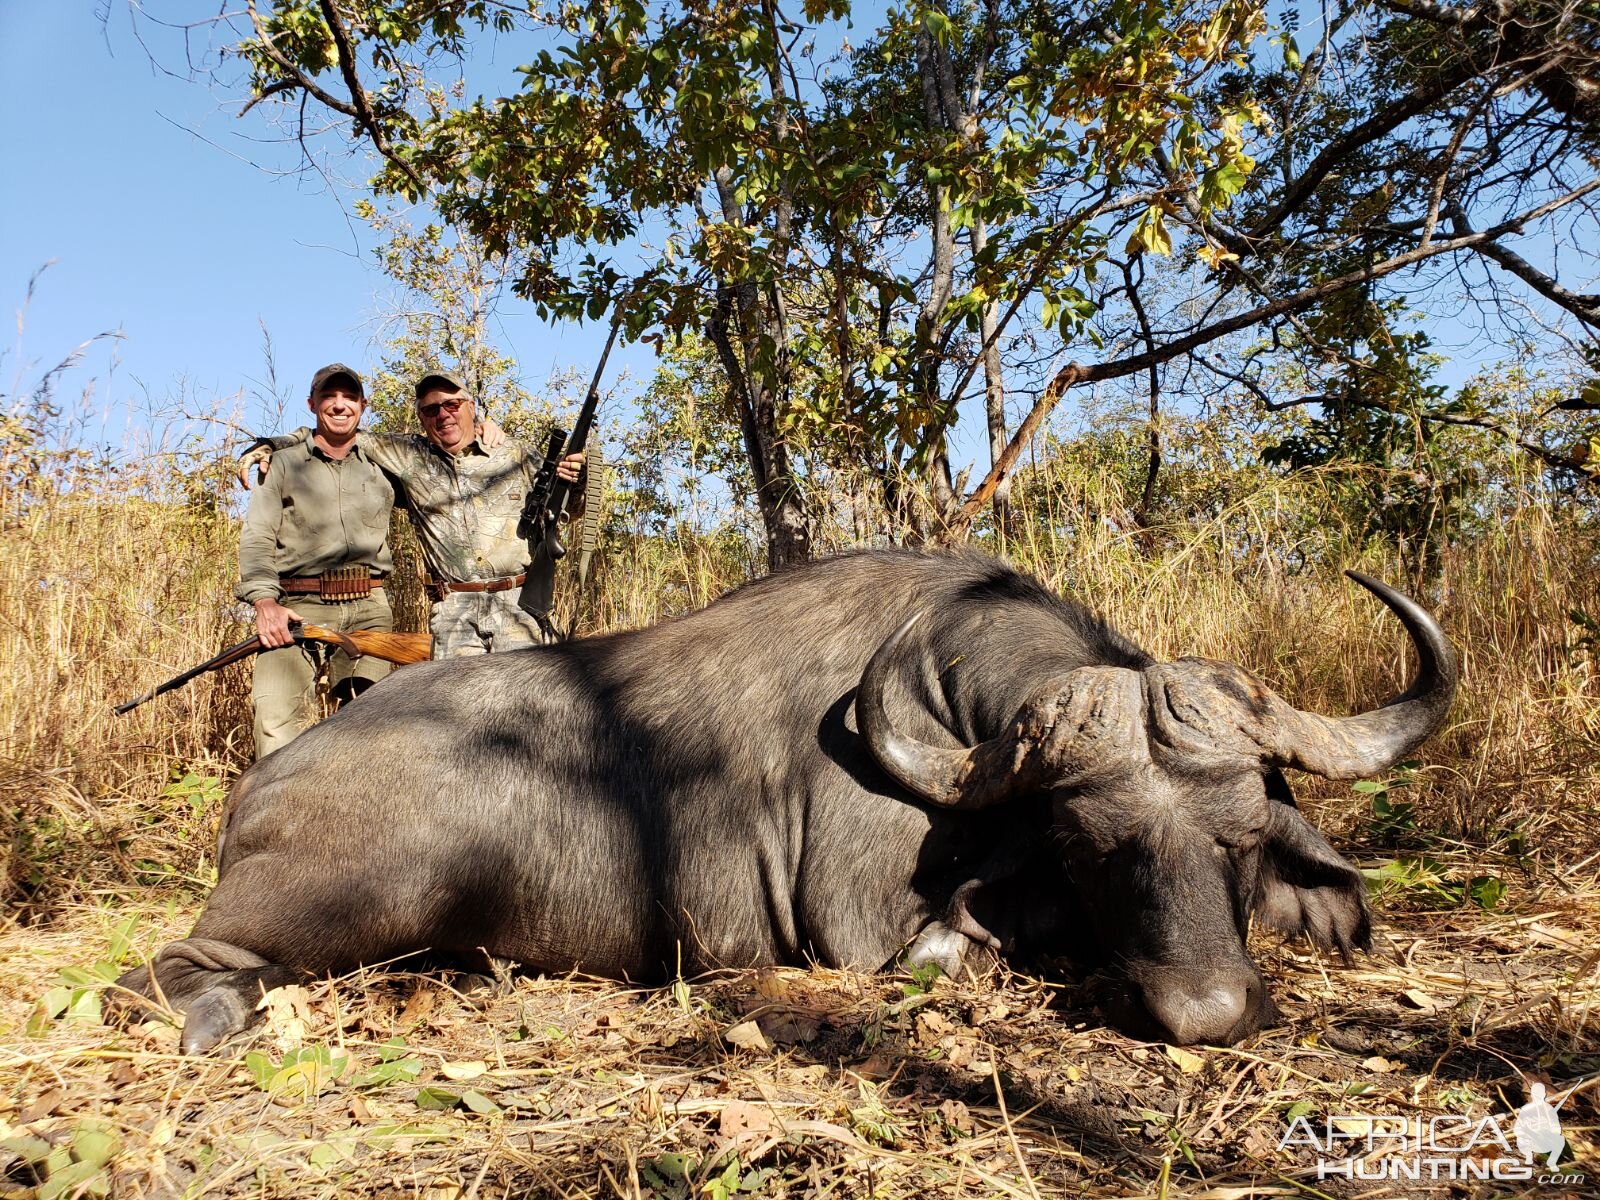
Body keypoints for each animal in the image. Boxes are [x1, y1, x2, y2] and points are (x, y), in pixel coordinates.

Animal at [118, 550, 1459, 1056]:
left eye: (1245, 841)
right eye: (1093, 848)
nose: (1205, 1015)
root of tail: (264, 785)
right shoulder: (868, 927)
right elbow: (959, 942)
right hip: (343, 903)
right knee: (178, 964)